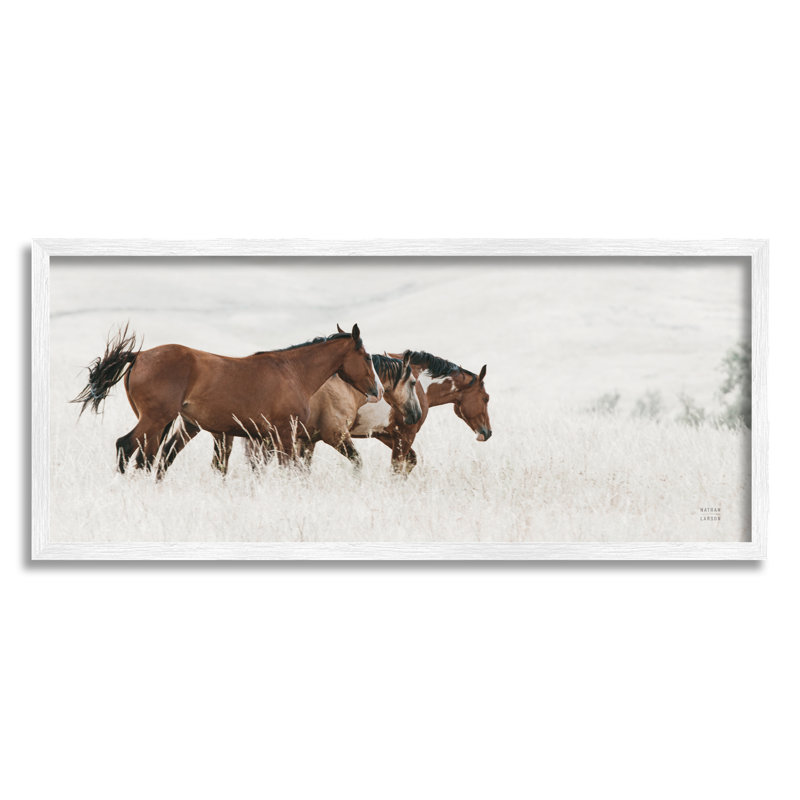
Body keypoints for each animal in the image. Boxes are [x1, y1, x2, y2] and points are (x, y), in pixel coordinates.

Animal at [72, 324, 383, 476]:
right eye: (367, 357)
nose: (377, 390)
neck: (292, 371)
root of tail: (139, 355)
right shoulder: (284, 432)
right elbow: (289, 468)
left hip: (166, 424)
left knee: (148, 458)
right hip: (156, 420)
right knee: (126, 447)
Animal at [224, 352, 422, 472]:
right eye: (413, 382)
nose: (416, 415)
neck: (345, 387)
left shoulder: (308, 440)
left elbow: (303, 469)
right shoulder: (336, 436)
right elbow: (357, 462)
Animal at [350, 350, 492, 474]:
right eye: (486, 398)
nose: (488, 432)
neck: (419, 384)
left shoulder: (384, 434)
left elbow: (411, 461)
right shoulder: (406, 434)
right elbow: (396, 469)